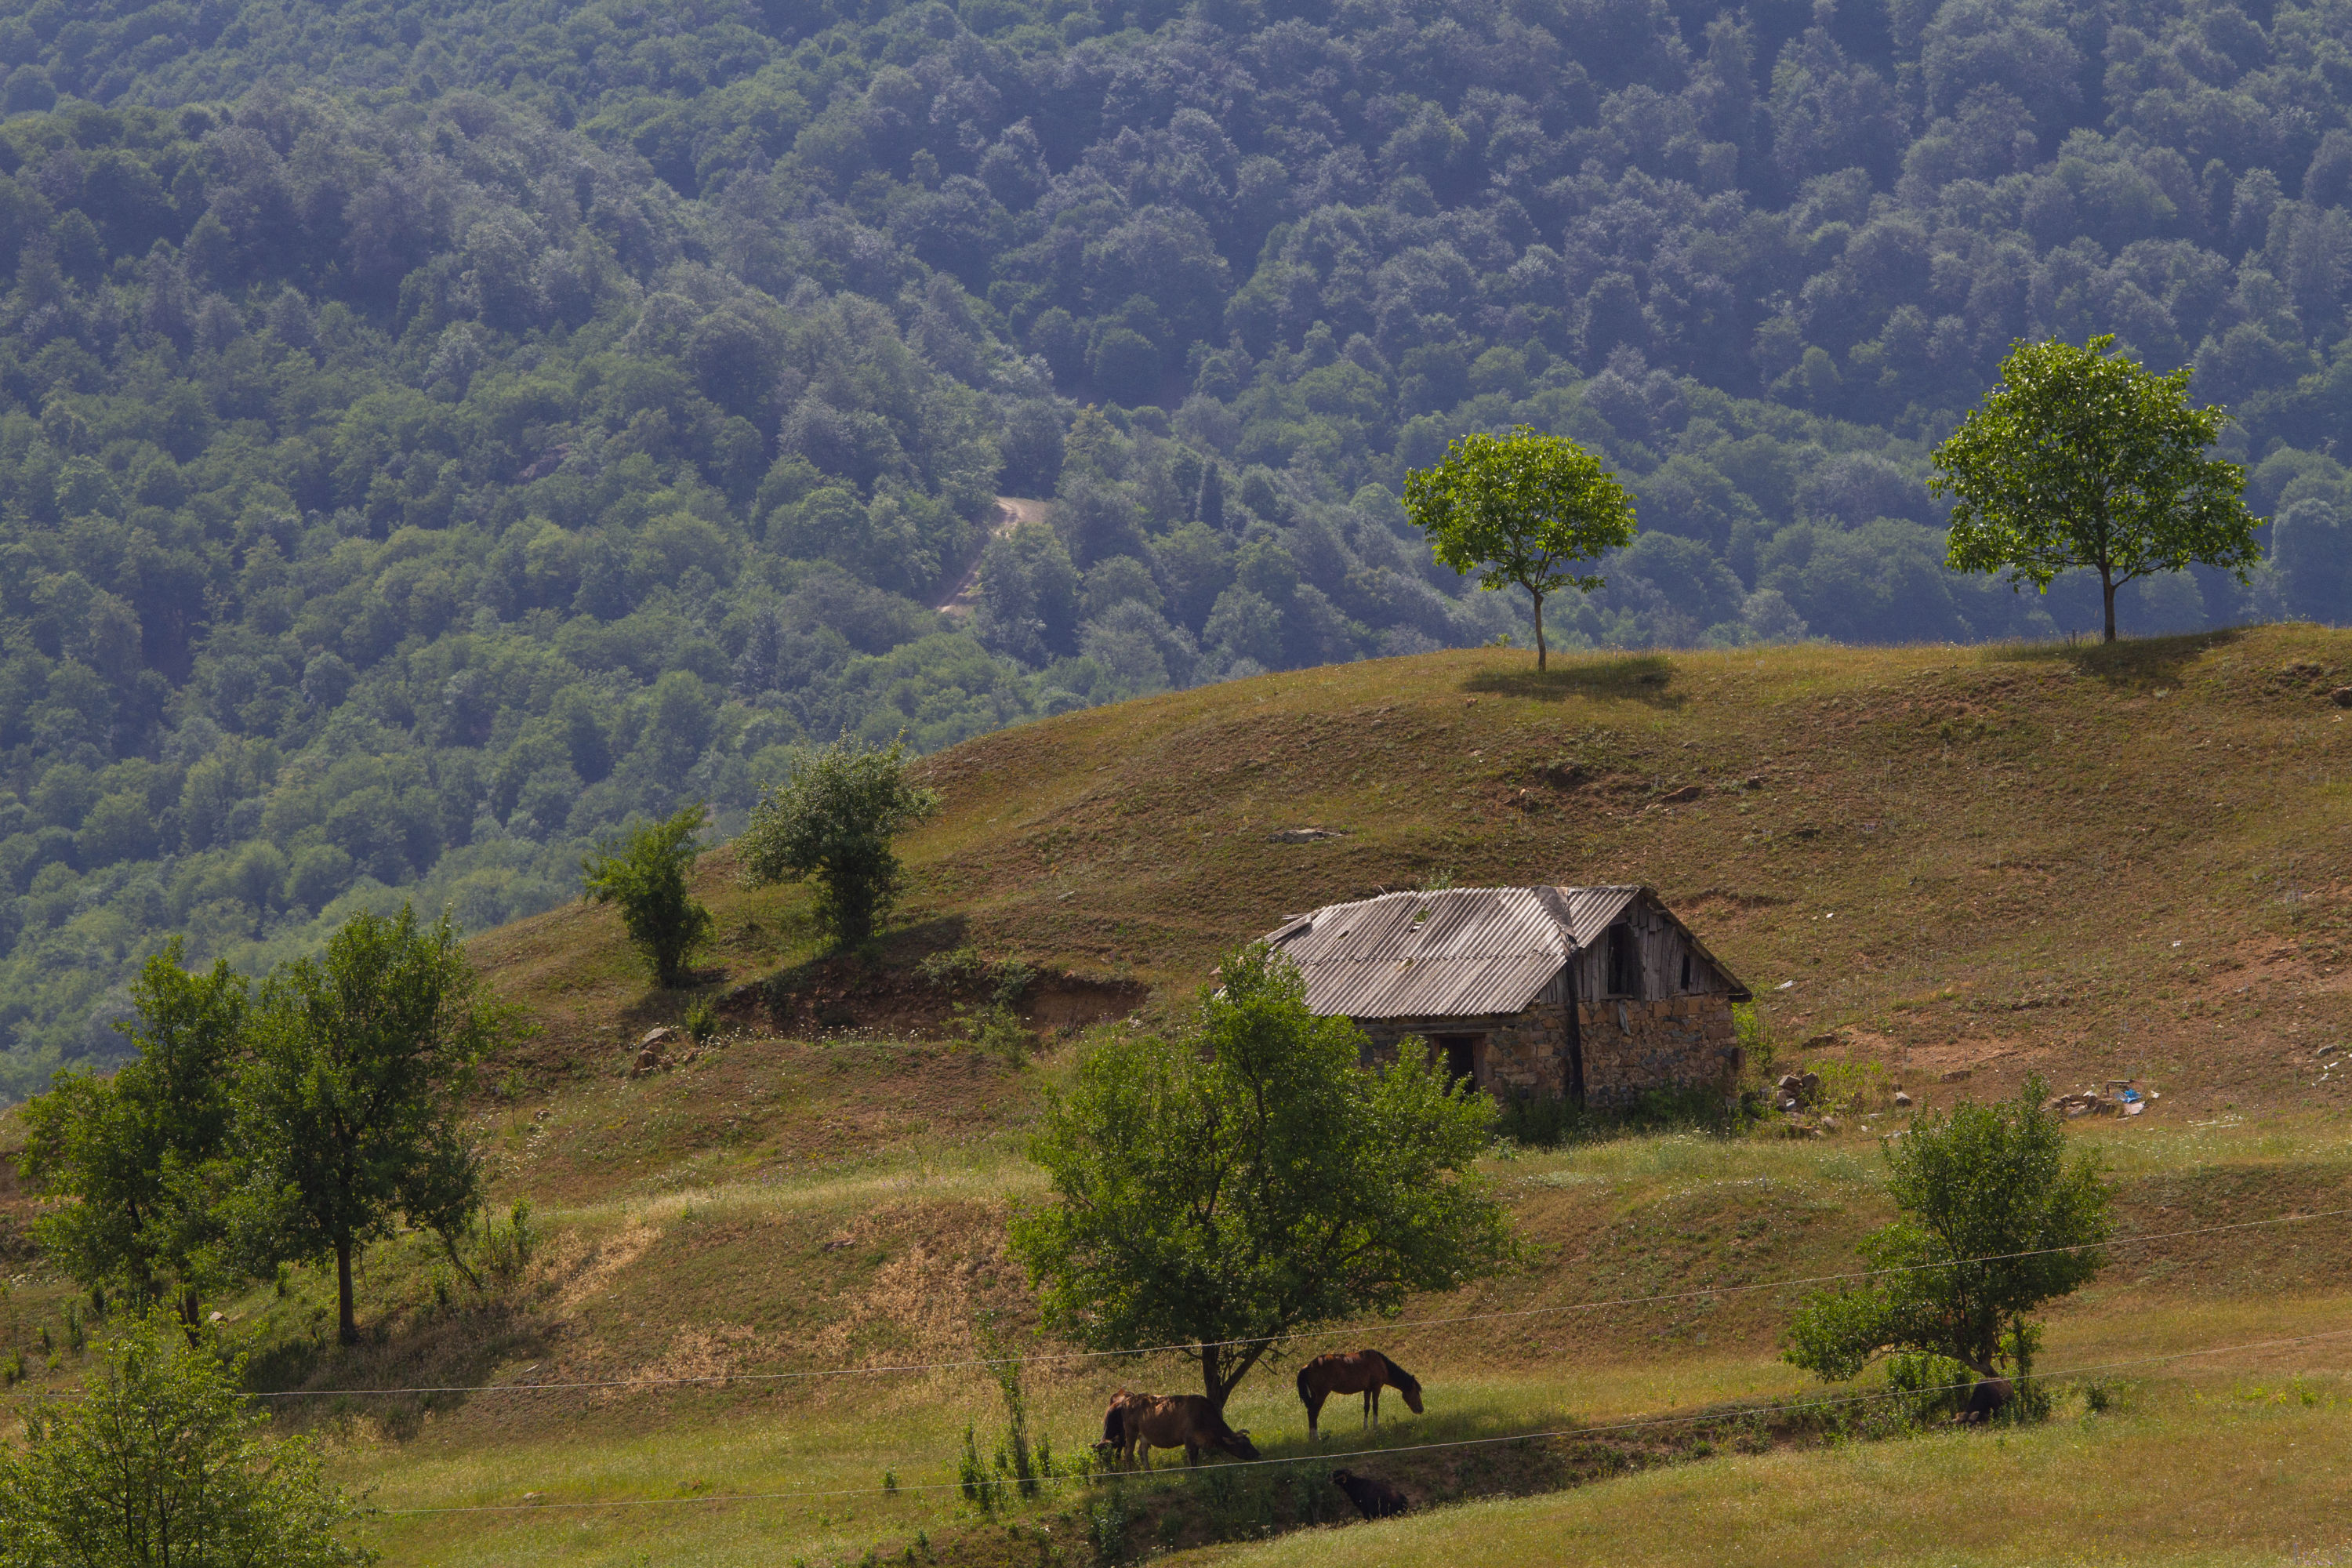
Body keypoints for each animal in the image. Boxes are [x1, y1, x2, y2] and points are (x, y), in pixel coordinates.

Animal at [1091, 1401, 1261, 1476]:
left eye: (1250, 1442)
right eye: (1245, 1445)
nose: (1258, 1454)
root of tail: (1126, 1402)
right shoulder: (1189, 1440)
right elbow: (1192, 1459)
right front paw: (1194, 1473)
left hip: (1144, 1436)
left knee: (1142, 1452)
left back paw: (1150, 1472)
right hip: (1131, 1433)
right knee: (1128, 1453)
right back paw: (1131, 1473)